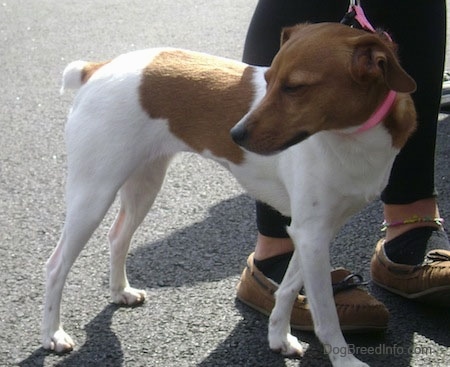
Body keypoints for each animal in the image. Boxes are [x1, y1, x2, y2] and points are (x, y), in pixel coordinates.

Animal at [42, 23, 414, 367]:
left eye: (294, 87)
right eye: (268, 79)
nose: (235, 134)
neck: (352, 138)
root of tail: (97, 68)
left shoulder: (314, 233)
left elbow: (288, 288)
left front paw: (279, 337)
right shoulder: (311, 235)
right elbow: (326, 316)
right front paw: (345, 360)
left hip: (144, 183)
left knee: (118, 237)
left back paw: (120, 291)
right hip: (93, 193)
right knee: (56, 265)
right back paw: (52, 335)